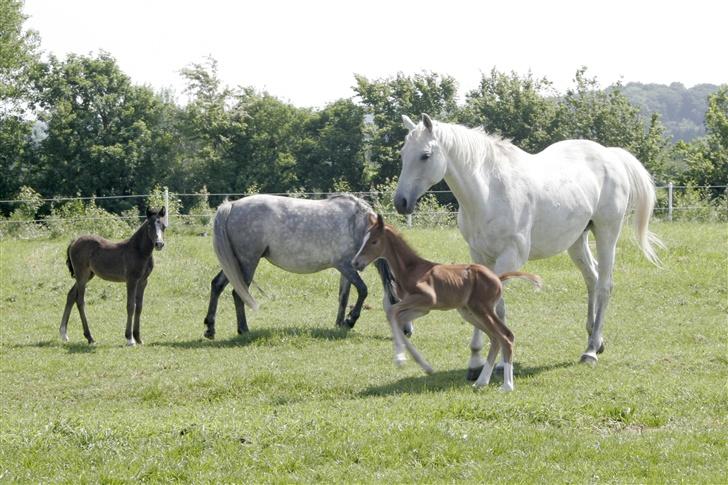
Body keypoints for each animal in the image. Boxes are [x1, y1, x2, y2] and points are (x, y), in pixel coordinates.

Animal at [59, 206, 166, 346]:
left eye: (163, 226)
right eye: (149, 225)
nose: (159, 244)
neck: (139, 251)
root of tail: (74, 241)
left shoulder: (143, 281)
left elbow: (139, 307)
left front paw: (138, 338)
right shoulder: (131, 280)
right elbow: (131, 306)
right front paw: (130, 339)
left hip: (88, 275)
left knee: (71, 295)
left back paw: (63, 333)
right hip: (81, 275)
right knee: (80, 301)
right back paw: (90, 337)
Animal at [205, 192, 410, 336]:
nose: (408, 331)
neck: (359, 225)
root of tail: (232, 205)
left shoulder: (346, 269)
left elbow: (344, 297)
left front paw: (339, 324)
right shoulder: (346, 266)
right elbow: (363, 290)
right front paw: (350, 321)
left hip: (235, 263)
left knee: (217, 285)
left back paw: (210, 328)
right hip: (248, 262)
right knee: (237, 293)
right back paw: (243, 329)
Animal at [352, 214, 540, 392]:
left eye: (374, 241)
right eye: (364, 239)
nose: (356, 262)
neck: (411, 268)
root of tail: (498, 278)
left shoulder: (428, 298)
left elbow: (391, 312)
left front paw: (400, 359)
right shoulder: (422, 308)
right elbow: (396, 319)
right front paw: (424, 366)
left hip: (482, 309)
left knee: (506, 336)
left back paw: (507, 385)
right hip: (468, 312)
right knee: (495, 338)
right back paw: (481, 382)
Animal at [396, 114, 664, 378]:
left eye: (425, 155)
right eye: (402, 153)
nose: (401, 202)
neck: (489, 192)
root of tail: (610, 155)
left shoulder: (510, 257)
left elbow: (494, 306)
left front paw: (494, 362)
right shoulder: (480, 256)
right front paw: (479, 362)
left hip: (607, 233)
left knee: (605, 285)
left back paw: (590, 352)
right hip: (577, 241)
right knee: (592, 279)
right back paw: (595, 341)